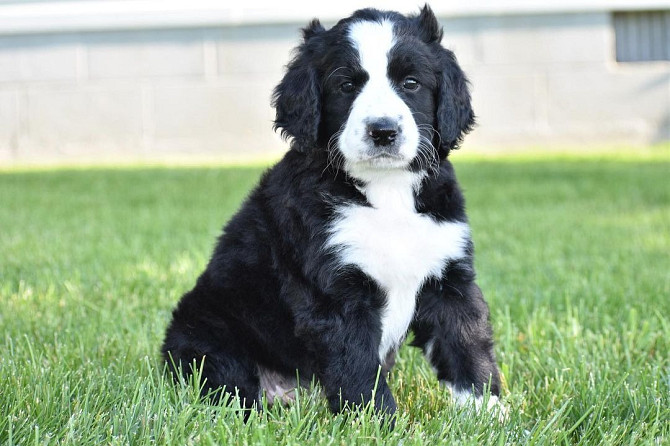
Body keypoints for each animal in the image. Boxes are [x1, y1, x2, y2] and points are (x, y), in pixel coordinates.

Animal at [161, 5, 504, 420]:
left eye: (411, 83)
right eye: (346, 85)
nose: (383, 131)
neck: (386, 192)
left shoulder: (448, 277)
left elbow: (467, 346)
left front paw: (489, 414)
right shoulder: (336, 293)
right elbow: (358, 367)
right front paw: (378, 422)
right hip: (206, 335)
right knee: (231, 386)